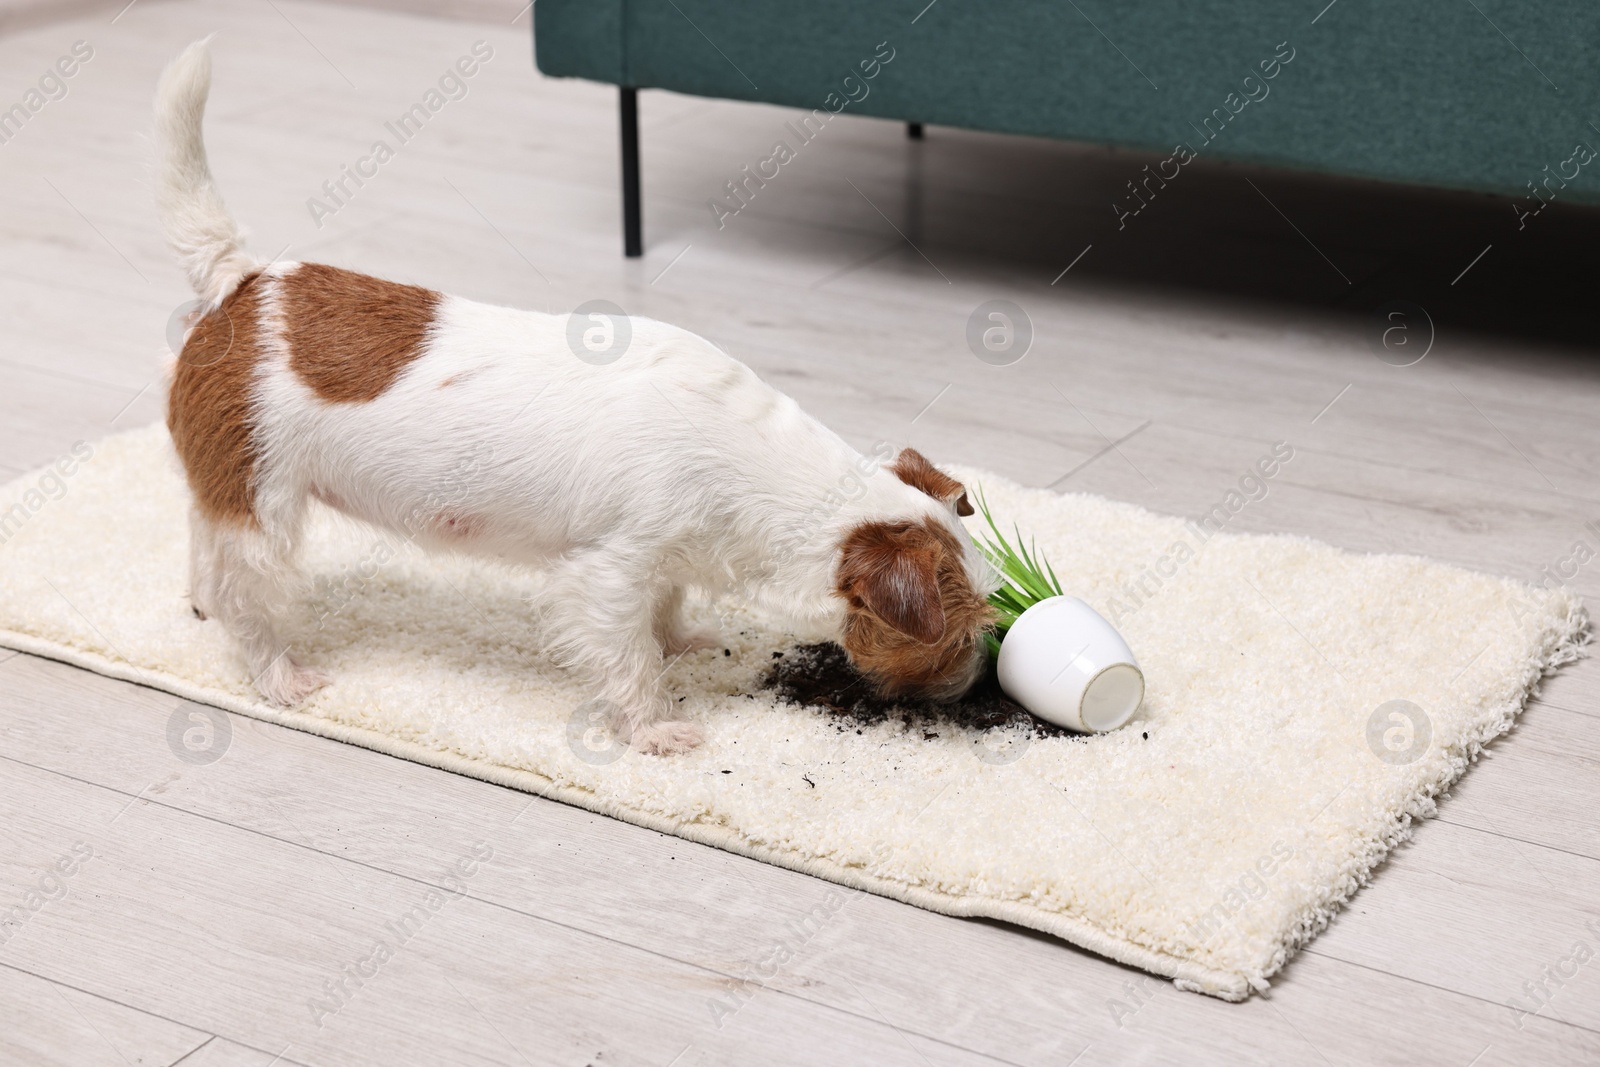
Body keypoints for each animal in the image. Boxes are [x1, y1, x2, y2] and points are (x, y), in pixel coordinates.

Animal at [156, 41, 992, 755]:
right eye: (958, 633)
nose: (967, 690)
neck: (750, 460)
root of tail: (242, 282)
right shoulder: (609, 574)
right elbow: (630, 657)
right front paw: (654, 728)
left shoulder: (661, 564)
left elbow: (665, 609)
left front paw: (681, 641)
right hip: (265, 512)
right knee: (246, 599)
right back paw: (278, 674)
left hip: (232, 490)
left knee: (202, 541)